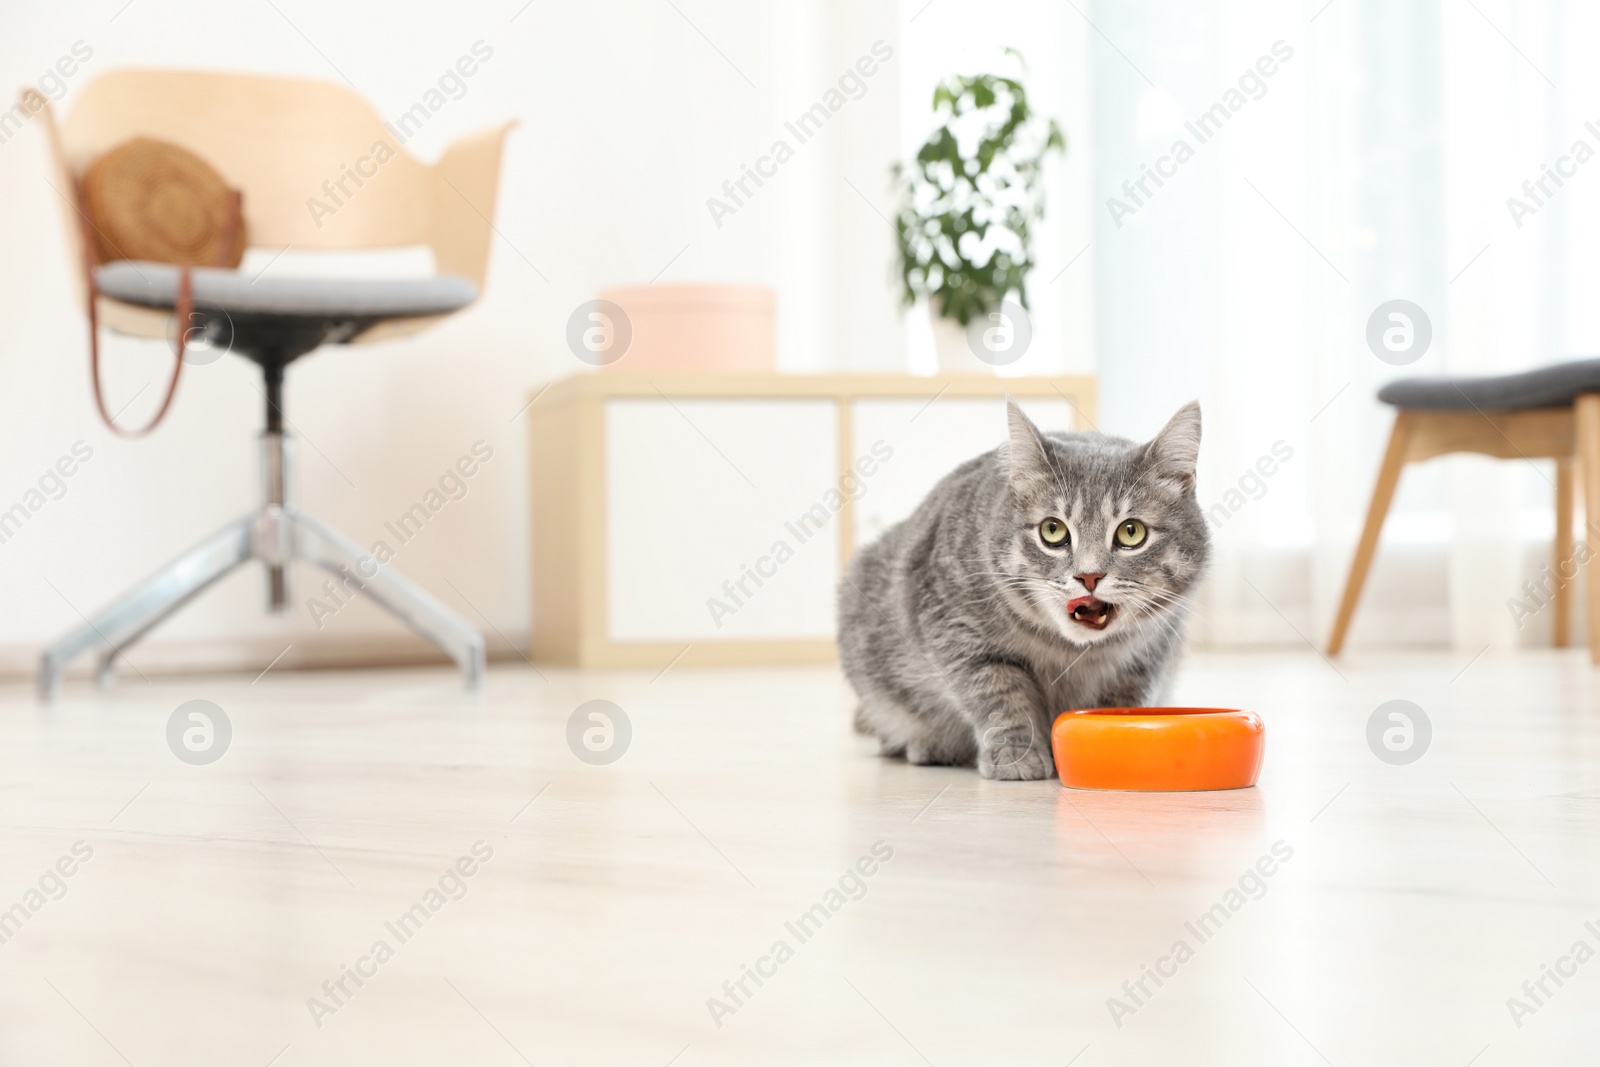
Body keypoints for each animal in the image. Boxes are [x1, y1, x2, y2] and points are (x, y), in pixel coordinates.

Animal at [844, 399, 1203, 777]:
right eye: (1052, 530)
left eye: (1131, 532)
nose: (1088, 576)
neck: (1070, 652)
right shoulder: (958, 633)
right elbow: (1000, 694)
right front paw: (1016, 754)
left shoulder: (1151, 651)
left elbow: (1125, 699)